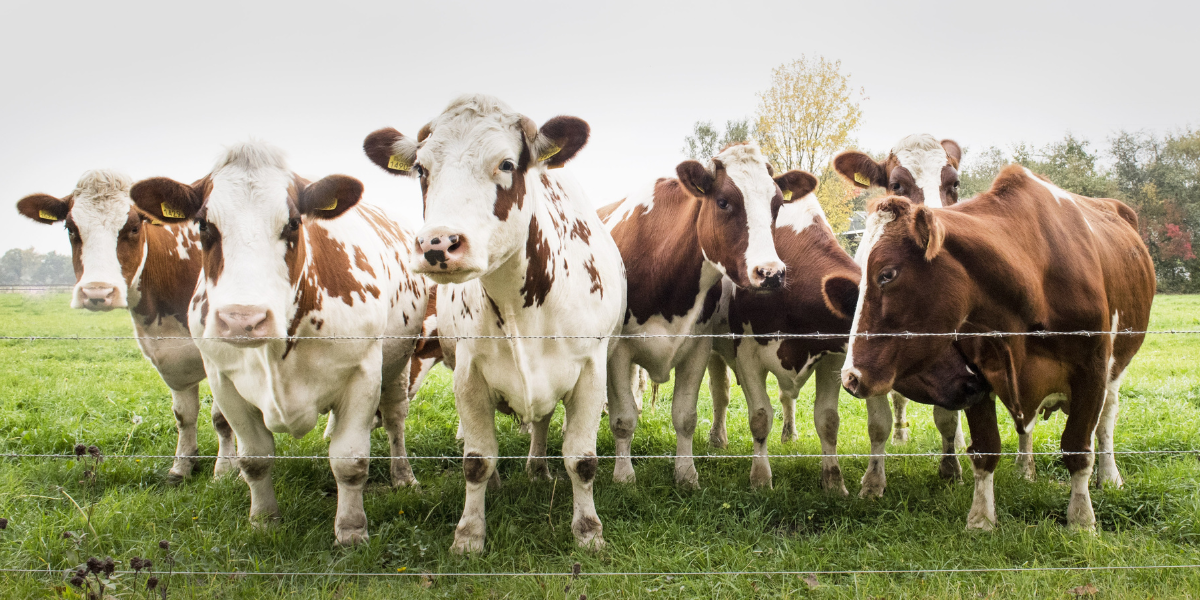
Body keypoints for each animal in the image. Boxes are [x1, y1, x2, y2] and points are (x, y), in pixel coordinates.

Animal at [14, 171, 234, 480]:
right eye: (70, 228)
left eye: (132, 227)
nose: (97, 292)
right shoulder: (170, 354)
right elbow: (184, 415)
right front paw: (181, 467)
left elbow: (221, 417)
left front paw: (225, 471)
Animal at [126, 142, 424, 547]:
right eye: (203, 225)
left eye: (294, 223)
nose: (243, 319)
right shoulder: (223, 380)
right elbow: (254, 458)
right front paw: (264, 520)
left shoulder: (362, 373)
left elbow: (349, 462)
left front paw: (350, 530)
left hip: (398, 363)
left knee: (394, 420)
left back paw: (403, 476)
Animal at [362, 93, 628, 552]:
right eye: (422, 169)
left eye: (505, 164)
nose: (437, 243)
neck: (520, 303)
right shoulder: (468, 373)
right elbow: (476, 459)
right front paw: (469, 533)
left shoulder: (591, 370)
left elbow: (582, 459)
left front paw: (588, 530)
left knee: (542, 422)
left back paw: (537, 468)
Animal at [597, 140, 801, 487]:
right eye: (723, 202)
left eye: (776, 205)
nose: (771, 273)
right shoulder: (619, 351)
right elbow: (623, 417)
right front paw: (624, 476)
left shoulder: (698, 347)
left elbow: (685, 416)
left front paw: (686, 474)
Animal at [835, 165, 1152, 530]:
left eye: (887, 274)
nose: (851, 376)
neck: (1031, 278)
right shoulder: (977, 376)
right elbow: (985, 449)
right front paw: (981, 518)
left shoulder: (1092, 371)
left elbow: (1077, 448)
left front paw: (1082, 520)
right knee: (1027, 427)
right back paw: (1025, 468)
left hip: (1115, 372)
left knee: (1106, 422)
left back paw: (1109, 476)